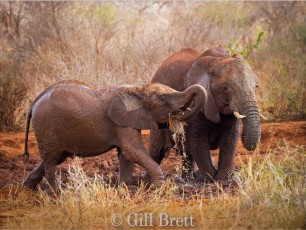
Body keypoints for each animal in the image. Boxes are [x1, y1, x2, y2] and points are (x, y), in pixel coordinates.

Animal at [22, 80, 207, 190]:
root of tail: (33, 104)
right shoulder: (121, 123)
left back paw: (28, 188)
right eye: (162, 98)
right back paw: (57, 194)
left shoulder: (125, 122)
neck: (138, 89)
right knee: (51, 159)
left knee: (54, 158)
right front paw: (158, 187)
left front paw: (124, 189)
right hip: (46, 126)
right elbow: (132, 152)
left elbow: (125, 155)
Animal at [148, 46, 260, 181]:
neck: (218, 60)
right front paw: (210, 178)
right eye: (225, 88)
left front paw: (223, 179)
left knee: (187, 155)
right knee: (156, 152)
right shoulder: (194, 101)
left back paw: (187, 179)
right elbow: (198, 140)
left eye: (256, 86)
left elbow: (230, 138)